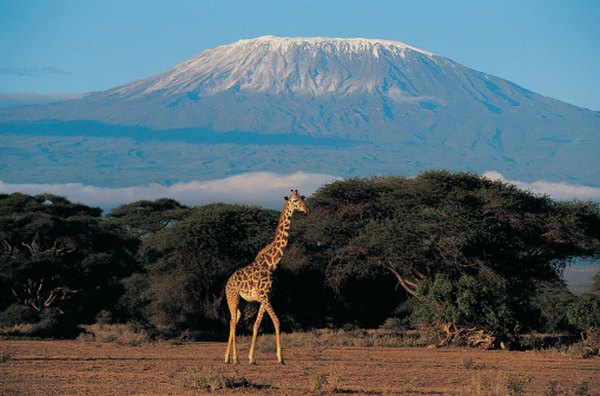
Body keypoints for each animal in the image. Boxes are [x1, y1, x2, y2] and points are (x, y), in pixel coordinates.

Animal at [225, 190, 310, 364]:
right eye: (294, 201)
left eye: (302, 198)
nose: (307, 209)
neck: (272, 265)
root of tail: (227, 283)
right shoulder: (264, 297)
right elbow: (277, 321)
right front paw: (280, 358)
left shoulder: (266, 297)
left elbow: (257, 324)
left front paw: (251, 357)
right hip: (233, 297)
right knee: (233, 322)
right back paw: (235, 358)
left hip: (242, 303)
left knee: (233, 321)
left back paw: (227, 358)